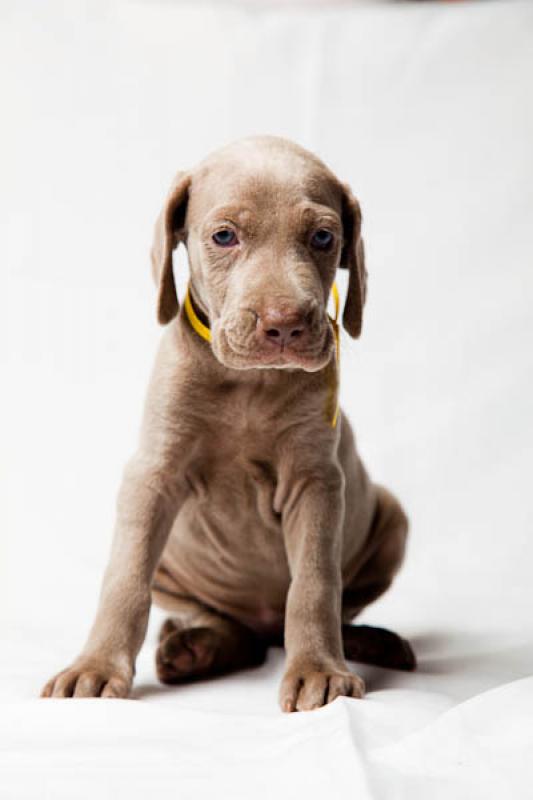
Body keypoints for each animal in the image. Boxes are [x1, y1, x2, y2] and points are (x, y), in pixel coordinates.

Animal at [42, 138, 416, 712]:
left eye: (323, 238)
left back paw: (370, 642)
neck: (248, 384)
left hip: (391, 515)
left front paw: (319, 669)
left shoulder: (317, 481)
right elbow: (125, 578)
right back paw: (194, 648)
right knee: (224, 624)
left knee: (332, 607)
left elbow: (314, 584)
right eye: (224, 236)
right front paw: (95, 666)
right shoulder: (151, 475)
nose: (284, 325)